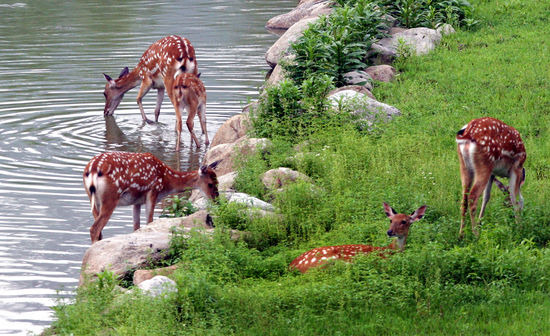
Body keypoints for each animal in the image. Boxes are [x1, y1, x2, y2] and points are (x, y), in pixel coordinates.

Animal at [82, 151, 220, 243]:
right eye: (210, 184)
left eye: (218, 181)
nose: (217, 201)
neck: (166, 181)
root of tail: (93, 170)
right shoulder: (153, 190)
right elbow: (149, 221)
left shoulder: (137, 201)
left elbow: (136, 227)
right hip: (110, 197)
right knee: (94, 228)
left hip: (93, 199)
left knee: (98, 230)